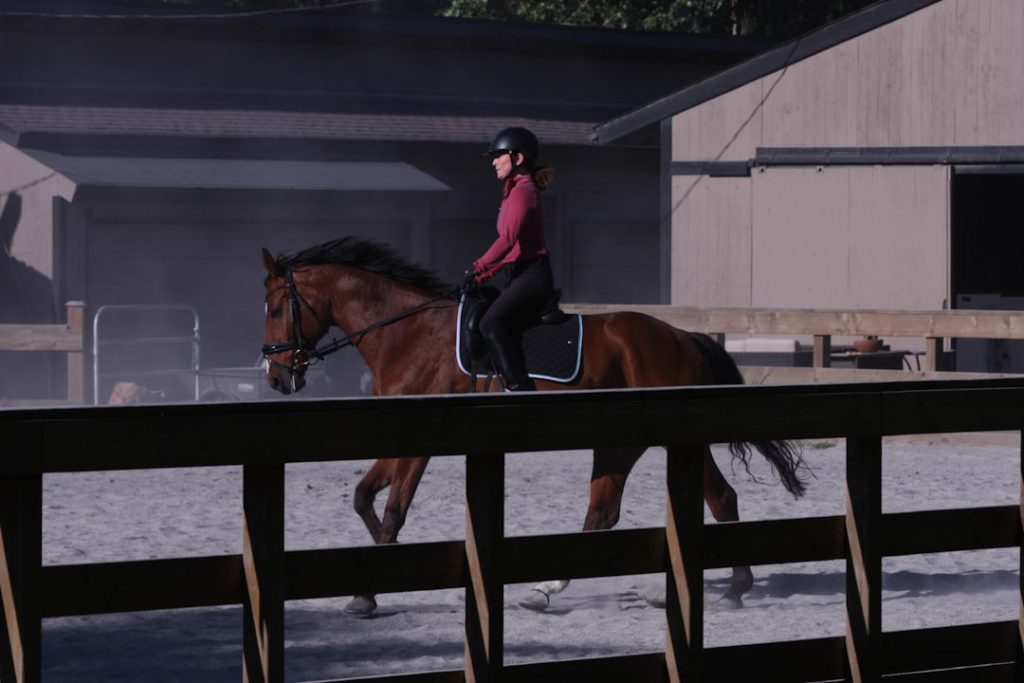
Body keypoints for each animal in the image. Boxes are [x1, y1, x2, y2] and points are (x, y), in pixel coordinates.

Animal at [261, 236, 806, 615]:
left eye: (275, 307)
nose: (276, 377)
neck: (405, 332)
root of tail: (684, 337)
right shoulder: (398, 438)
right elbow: (363, 498)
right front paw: (377, 574)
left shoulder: (420, 444)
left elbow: (394, 511)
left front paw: (368, 592)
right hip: (621, 442)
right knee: (612, 511)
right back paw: (548, 589)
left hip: (670, 437)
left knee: (714, 498)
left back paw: (734, 588)